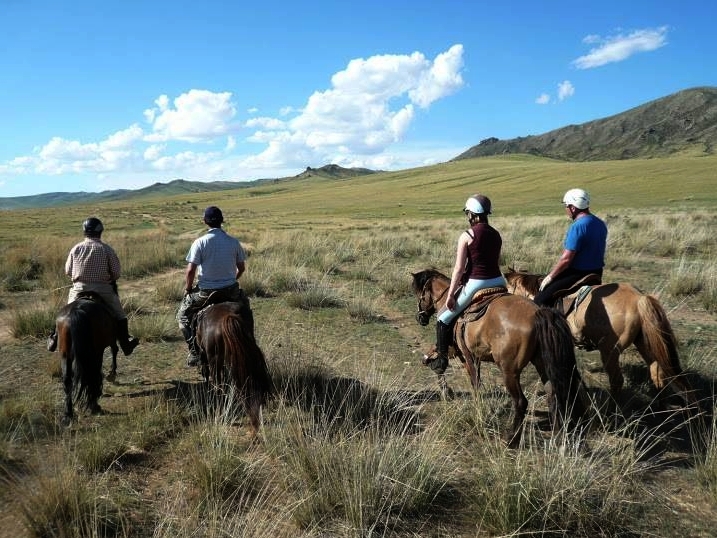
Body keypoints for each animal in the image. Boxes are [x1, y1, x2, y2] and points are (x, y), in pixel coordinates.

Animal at [54, 294, 117, 422]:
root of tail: (76, 311)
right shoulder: (101, 349)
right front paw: (111, 374)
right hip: (95, 352)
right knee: (93, 375)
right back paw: (94, 406)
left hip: (65, 354)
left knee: (67, 380)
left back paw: (68, 415)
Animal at [193, 302, 274, 432]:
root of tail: (227, 316)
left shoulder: (204, 356)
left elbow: (206, 373)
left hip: (214, 361)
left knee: (218, 385)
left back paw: (219, 412)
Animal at [412, 268, 584, 448]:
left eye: (420, 294)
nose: (420, 318)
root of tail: (538, 313)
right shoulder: (468, 356)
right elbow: (432, 360)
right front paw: (445, 388)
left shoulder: (464, 355)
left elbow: (470, 382)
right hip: (542, 364)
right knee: (553, 395)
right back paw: (557, 436)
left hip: (509, 372)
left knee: (521, 402)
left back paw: (512, 440)